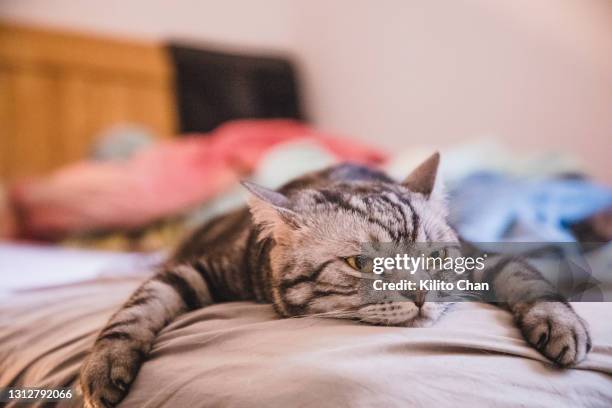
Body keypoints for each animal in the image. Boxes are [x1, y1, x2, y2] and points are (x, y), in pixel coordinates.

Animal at [79, 154, 592, 408]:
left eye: (434, 258)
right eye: (358, 263)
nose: (420, 295)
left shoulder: (480, 259)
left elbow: (526, 274)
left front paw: (562, 324)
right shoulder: (200, 269)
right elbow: (141, 304)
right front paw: (103, 366)